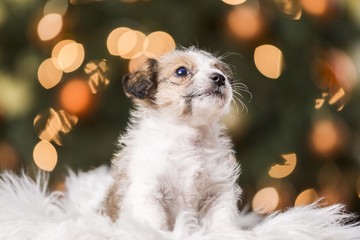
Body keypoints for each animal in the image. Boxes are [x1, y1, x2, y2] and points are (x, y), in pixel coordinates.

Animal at [104, 47, 245, 232]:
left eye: (219, 70)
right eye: (181, 71)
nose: (219, 78)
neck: (188, 138)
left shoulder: (218, 192)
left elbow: (221, 221)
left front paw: (228, 233)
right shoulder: (148, 191)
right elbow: (154, 226)